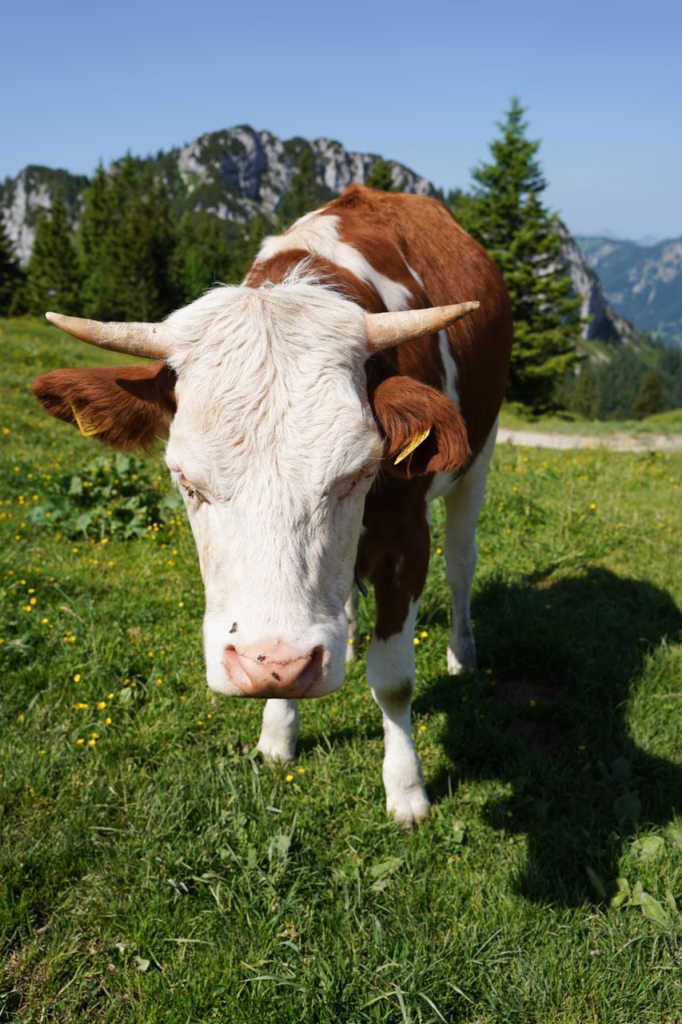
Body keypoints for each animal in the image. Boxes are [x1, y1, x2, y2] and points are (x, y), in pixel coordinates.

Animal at [33, 186, 513, 826]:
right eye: (185, 481)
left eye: (359, 474)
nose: (278, 663)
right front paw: (278, 735)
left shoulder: (407, 539)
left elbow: (393, 680)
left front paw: (407, 791)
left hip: (478, 456)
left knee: (462, 562)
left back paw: (462, 652)